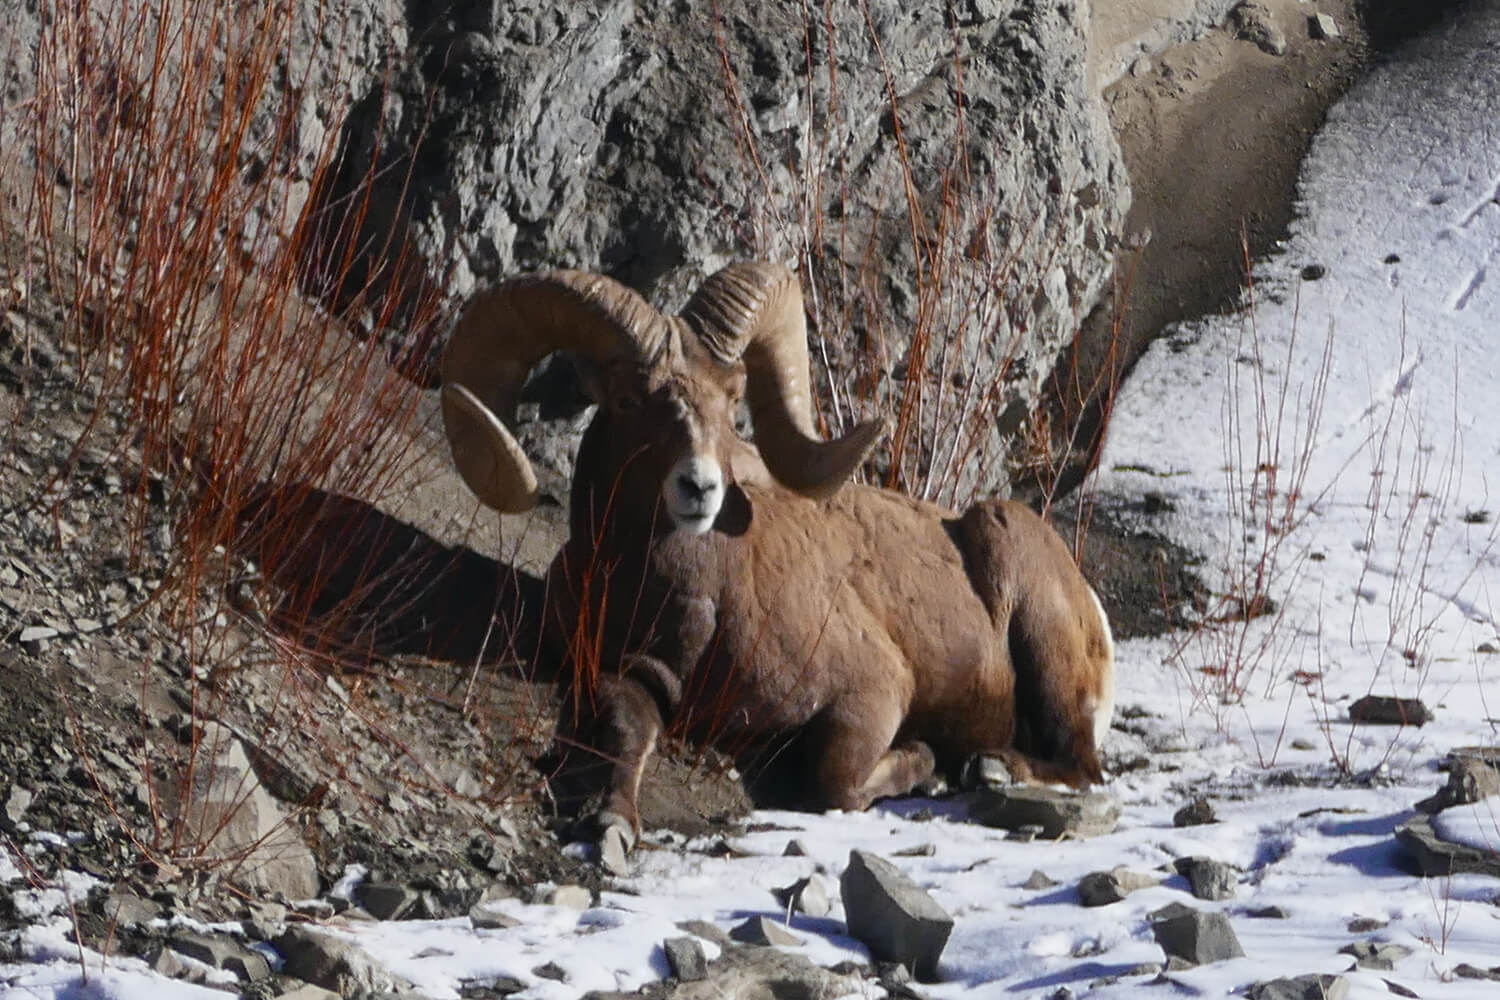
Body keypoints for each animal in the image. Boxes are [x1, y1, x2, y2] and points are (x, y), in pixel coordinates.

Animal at [440, 261, 1114, 841]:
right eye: (628, 400)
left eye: (731, 397)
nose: (700, 488)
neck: (704, 605)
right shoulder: (626, 673)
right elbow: (630, 736)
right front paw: (613, 826)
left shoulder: (873, 692)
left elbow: (837, 782)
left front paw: (929, 761)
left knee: (1081, 764)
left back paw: (989, 767)